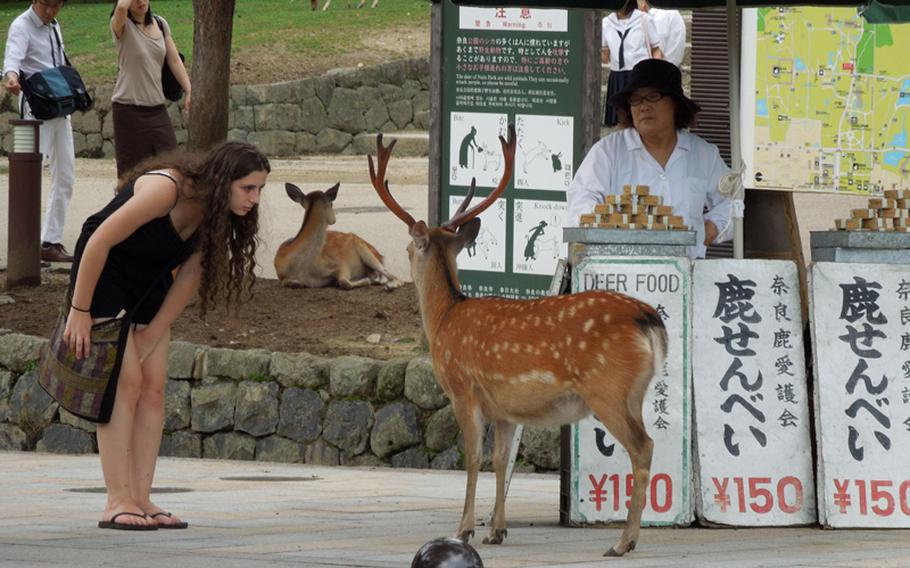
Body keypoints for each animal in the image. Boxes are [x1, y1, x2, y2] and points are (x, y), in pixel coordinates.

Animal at [276, 182, 404, 290]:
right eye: (331, 204)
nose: (334, 219)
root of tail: (380, 254)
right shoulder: (281, 276)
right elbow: (287, 283)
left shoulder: (340, 264)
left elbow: (344, 282)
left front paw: (365, 281)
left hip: (366, 251)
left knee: (392, 275)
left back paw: (389, 285)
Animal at [366, 126, 672, 556]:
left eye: (409, 247)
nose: (399, 256)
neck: (445, 318)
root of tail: (649, 319)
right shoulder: (505, 408)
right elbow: (499, 459)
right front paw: (497, 529)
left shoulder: (463, 388)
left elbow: (473, 457)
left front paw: (464, 529)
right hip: (636, 393)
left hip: (607, 389)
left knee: (643, 447)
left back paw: (623, 541)